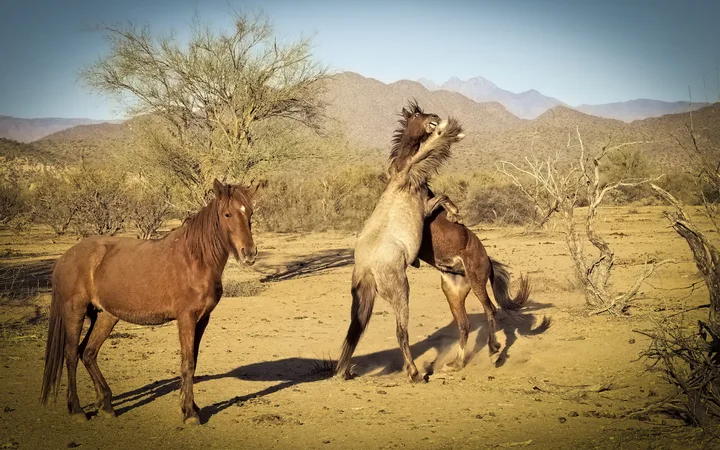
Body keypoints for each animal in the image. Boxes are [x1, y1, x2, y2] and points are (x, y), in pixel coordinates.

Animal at [40, 178, 262, 425]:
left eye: (250, 213)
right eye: (227, 214)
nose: (249, 253)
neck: (196, 259)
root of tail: (65, 257)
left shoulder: (203, 319)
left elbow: (193, 362)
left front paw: (191, 407)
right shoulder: (186, 318)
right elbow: (187, 364)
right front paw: (190, 414)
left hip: (106, 316)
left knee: (87, 353)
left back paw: (106, 405)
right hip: (75, 312)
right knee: (70, 355)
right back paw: (77, 409)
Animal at [335, 101, 465, 382]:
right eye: (417, 114)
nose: (435, 117)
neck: (400, 174)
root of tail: (368, 268)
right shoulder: (425, 204)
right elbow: (442, 194)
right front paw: (455, 214)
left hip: (361, 300)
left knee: (354, 331)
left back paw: (345, 372)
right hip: (401, 291)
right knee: (400, 332)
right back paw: (415, 373)